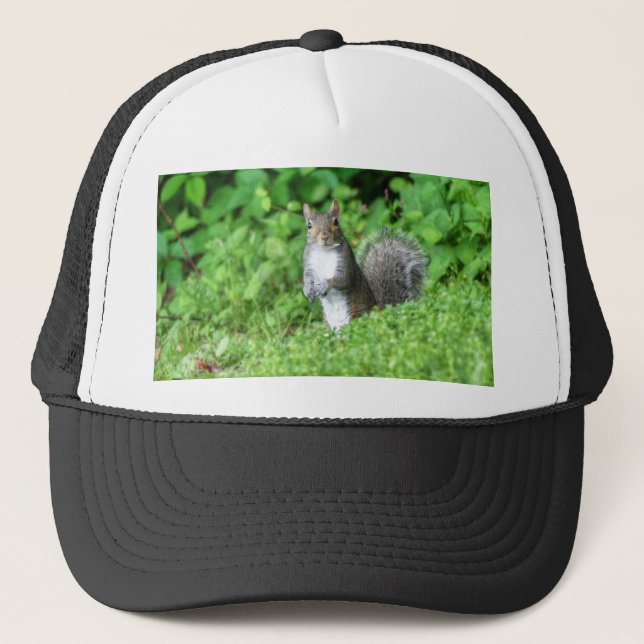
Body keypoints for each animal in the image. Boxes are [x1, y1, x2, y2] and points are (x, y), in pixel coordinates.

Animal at [302, 199, 428, 330]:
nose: (324, 236)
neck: (324, 251)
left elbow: (344, 279)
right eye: (309, 225)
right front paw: (307, 290)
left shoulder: (346, 261)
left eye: (336, 222)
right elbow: (307, 278)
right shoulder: (309, 263)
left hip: (356, 315)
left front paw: (326, 284)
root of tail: (380, 314)